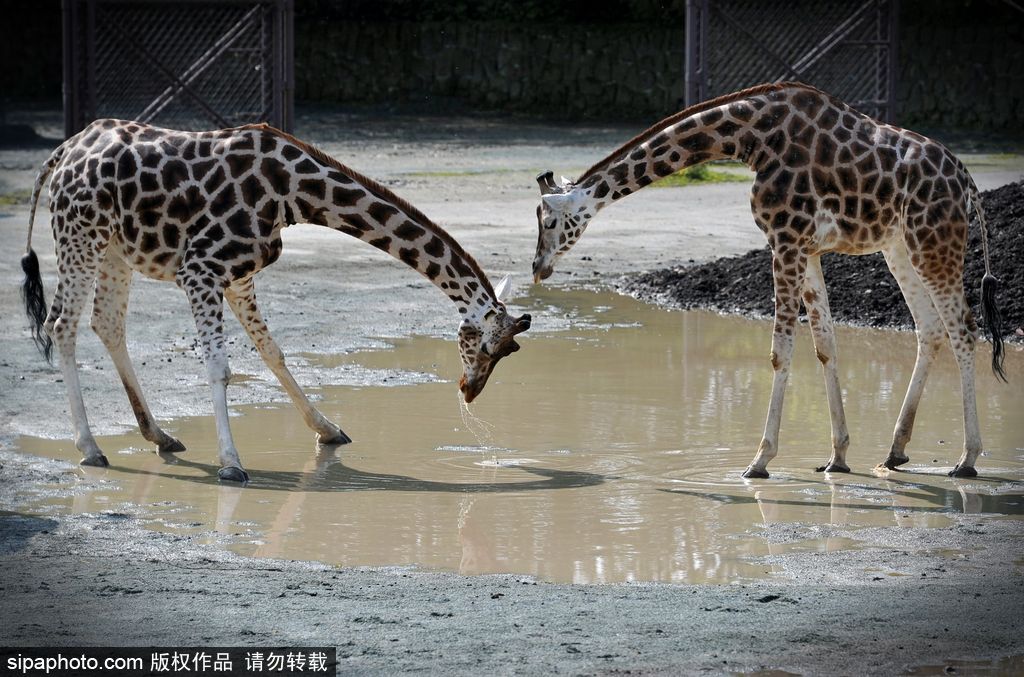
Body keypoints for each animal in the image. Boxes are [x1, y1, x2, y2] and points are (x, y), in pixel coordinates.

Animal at [19, 120, 532, 481]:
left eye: (508, 352)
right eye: (488, 347)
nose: (468, 391)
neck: (293, 193)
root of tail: (63, 151)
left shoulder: (238, 278)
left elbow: (274, 353)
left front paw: (329, 431)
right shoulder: (200, 270)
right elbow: (219, 368)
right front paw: (231, 463)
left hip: (113, 247)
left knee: (106, 323)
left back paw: (160, 435)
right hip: (79, 236)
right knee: (60, 324)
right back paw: (91, 449)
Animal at [536, 81, 1007, 477]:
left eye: (548, 220)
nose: (538, 268)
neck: (751, 139)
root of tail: (966, 181)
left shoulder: (786, 240)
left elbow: (780, 352)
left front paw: (759, 460)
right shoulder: (808, 248)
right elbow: (825, 346)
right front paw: (837, 457)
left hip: (934, 242)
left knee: (964, 330)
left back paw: (967, 459)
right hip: (900, 248)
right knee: (930, 329)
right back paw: (895, 452)